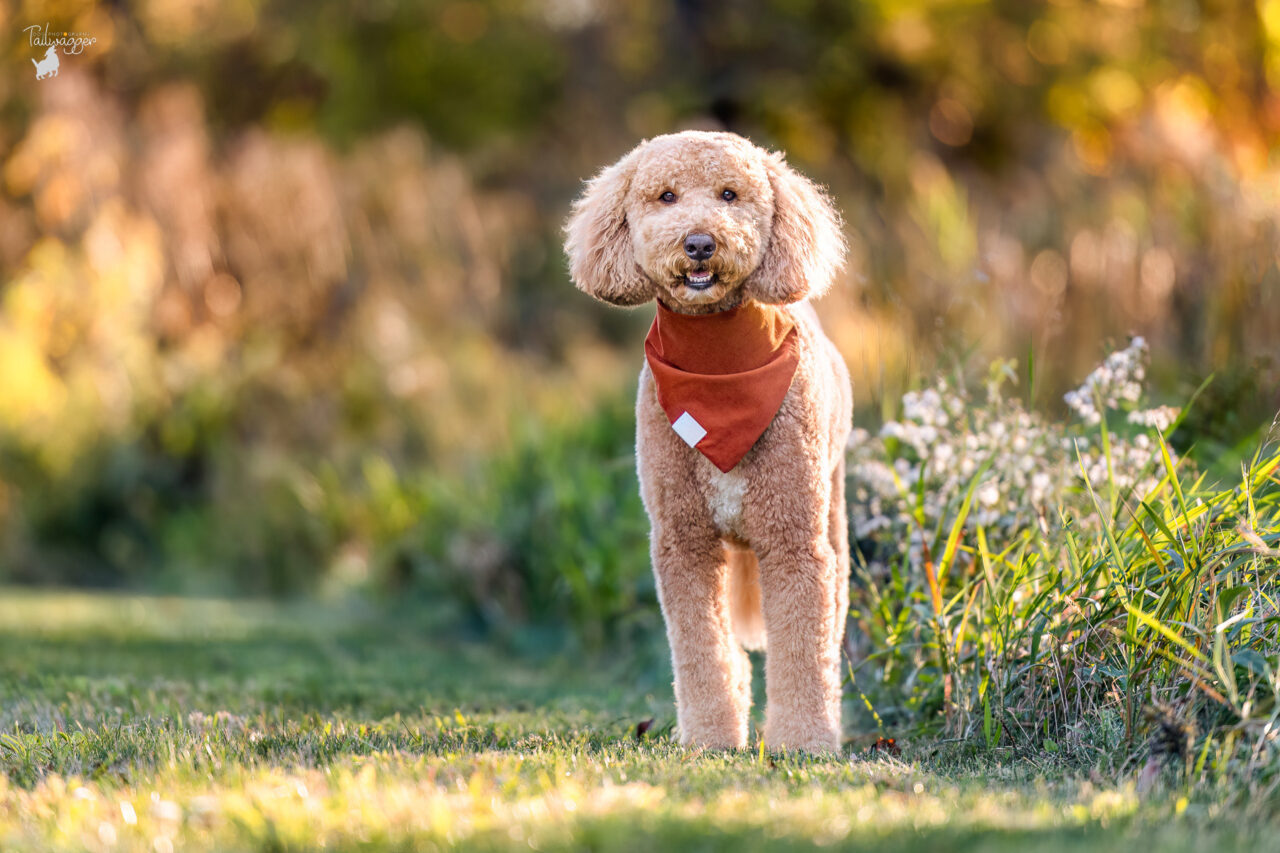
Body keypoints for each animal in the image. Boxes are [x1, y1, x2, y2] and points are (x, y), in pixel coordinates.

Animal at [568, 129, 849, 747]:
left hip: (831, 514)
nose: (699, 243)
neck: (716, 361)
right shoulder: (684, 541)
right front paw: (709, 738)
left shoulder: (794, 540)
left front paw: (805, 741)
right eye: (666, 196)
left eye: (729, 194)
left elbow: (804, 650)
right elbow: (703, 651)